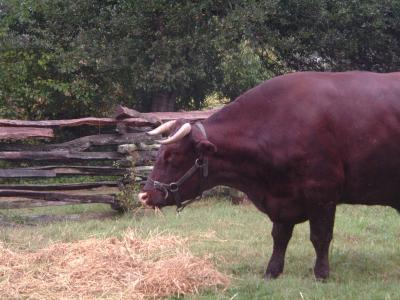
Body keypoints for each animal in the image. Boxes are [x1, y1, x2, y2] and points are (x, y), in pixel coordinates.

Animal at [140, 71, 400, 280]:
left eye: (172, 156)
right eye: (159, 153)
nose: (144, 196)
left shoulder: (322, 193)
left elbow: (320, 236)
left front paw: (321, 273)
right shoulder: (282, 198)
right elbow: (279, 237)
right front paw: (272, 271)